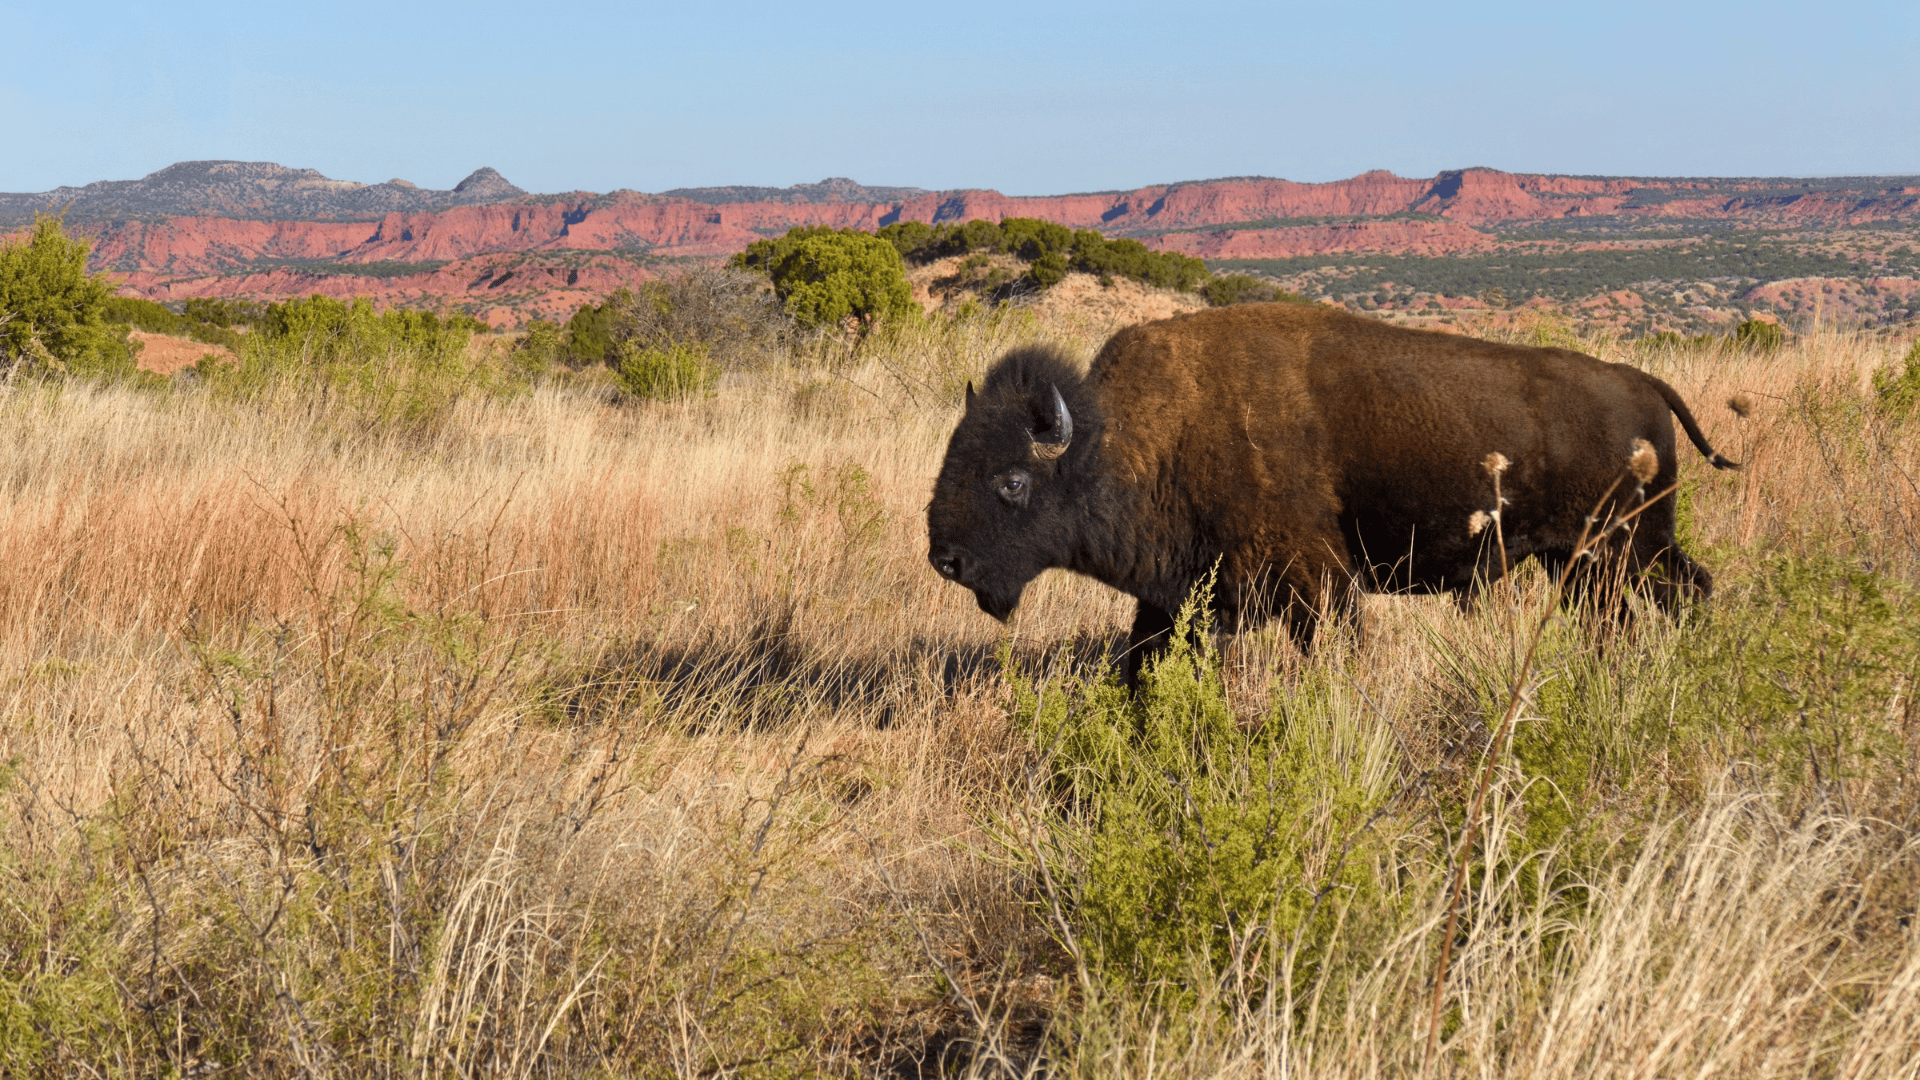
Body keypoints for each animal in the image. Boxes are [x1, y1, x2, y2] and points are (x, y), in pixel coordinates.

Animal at [926, 303, 1737, 685]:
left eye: (1011, 479)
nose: (946, 559)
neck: (1131, 440)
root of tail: (1641, 382)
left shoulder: (1316, 583)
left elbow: (1335, 648)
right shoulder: (1175, 598)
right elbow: (1142, 668)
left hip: (1619, 550)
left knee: (1673, 596)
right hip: (1589, 561)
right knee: (1664, 600)